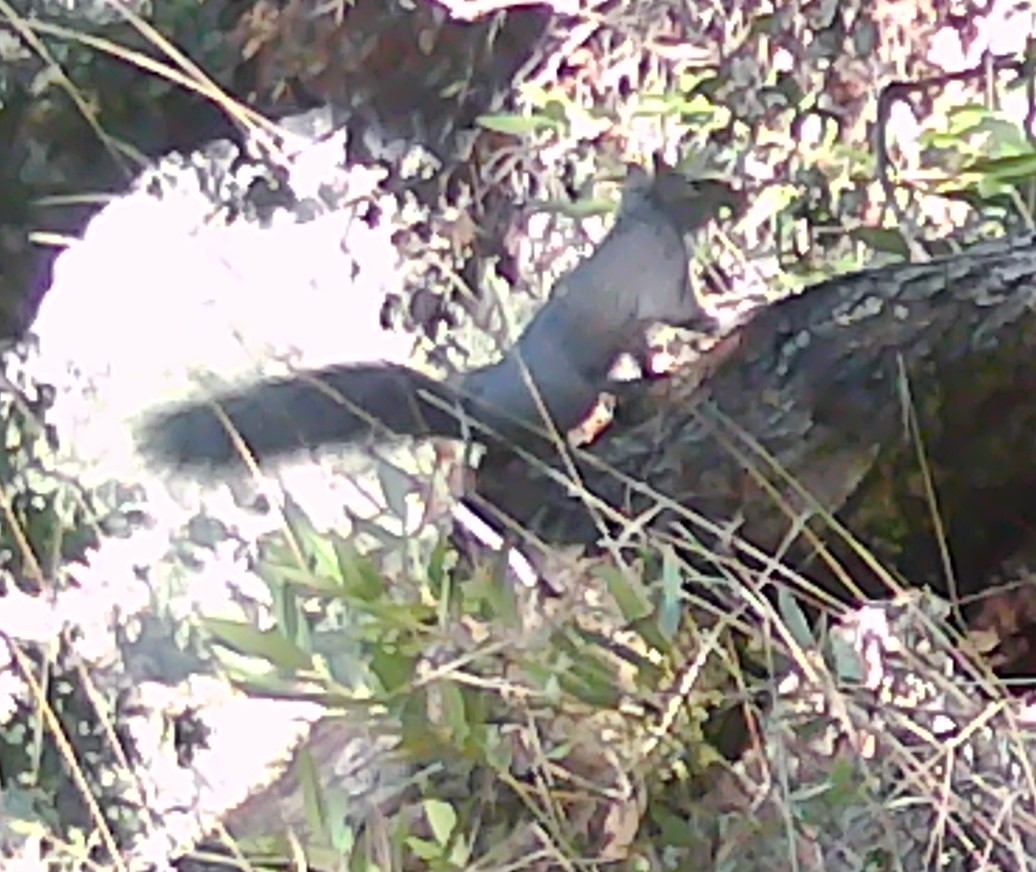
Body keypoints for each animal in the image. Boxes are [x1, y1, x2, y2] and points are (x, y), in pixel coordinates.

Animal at [139, 163, 738, 469]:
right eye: (695, 182)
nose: (736, 188)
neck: (645, 218)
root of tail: (471, 401)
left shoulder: (636, 321)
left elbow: (643, 345)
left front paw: (658, 367)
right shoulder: (661, 277)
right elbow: (678, 311)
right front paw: (720, 318)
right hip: (566, 398)